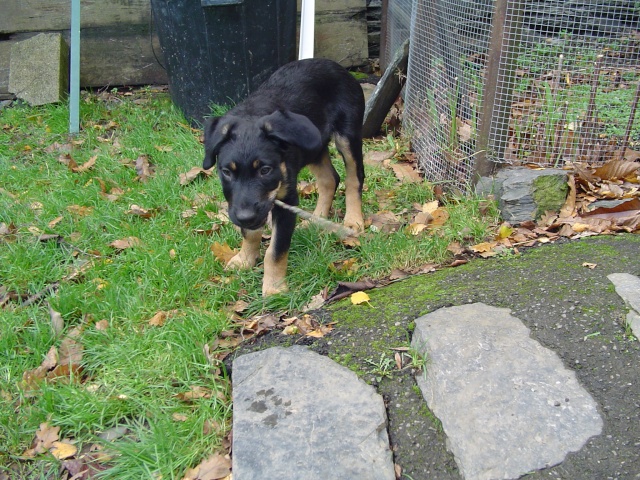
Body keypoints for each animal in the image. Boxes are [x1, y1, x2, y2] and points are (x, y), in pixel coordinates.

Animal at [205, 58, 364, 294]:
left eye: (265, 170)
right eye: (226, 172)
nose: (245, 217)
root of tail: (336, 66)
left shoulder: (286, 201)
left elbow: (275, 251)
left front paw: (274, 288)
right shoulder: (244, 204)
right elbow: (250, 233)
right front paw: (244, 259)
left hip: (348, 135)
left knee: (354, 178)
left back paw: (353, 219)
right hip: (314, 146)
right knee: (329, 179)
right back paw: (316, 219)